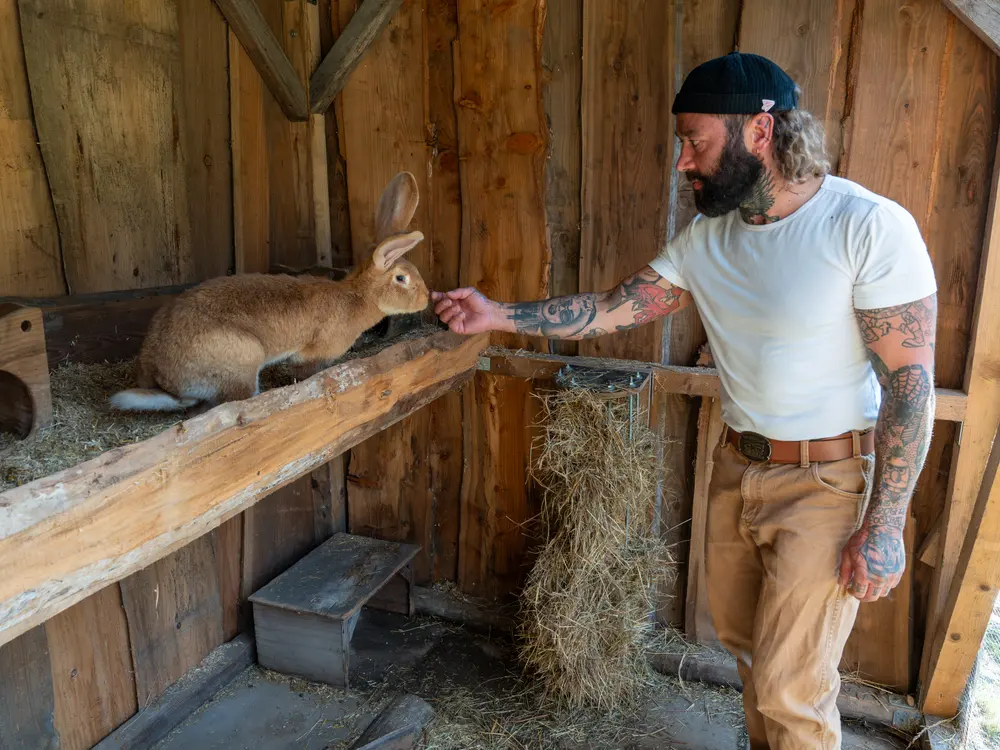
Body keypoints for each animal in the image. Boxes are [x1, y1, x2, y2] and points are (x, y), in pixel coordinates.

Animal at [109, 171, 430, 412]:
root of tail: (160, 376)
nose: (426, 298)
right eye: (401, 278)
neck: (357, 295)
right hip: (243, 358)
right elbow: (305, 372)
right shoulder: (311, 354)